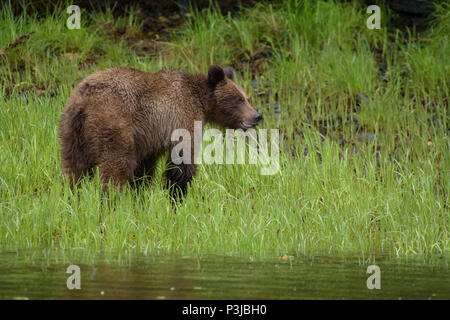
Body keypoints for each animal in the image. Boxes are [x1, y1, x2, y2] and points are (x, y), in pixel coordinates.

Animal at [60, 65, 264, 198]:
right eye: (238, 99)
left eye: (246, 97)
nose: (257, 116)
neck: (201, 102)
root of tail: (85, 99)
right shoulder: (181, 120)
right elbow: (182, 162)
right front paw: (177, 195)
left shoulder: (147, 136)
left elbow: (143, 169)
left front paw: (140, 195)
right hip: (113, 122)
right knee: (115, 166)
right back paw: (111, 201)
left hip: (72, 130)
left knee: (74, 169)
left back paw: (73, 198)